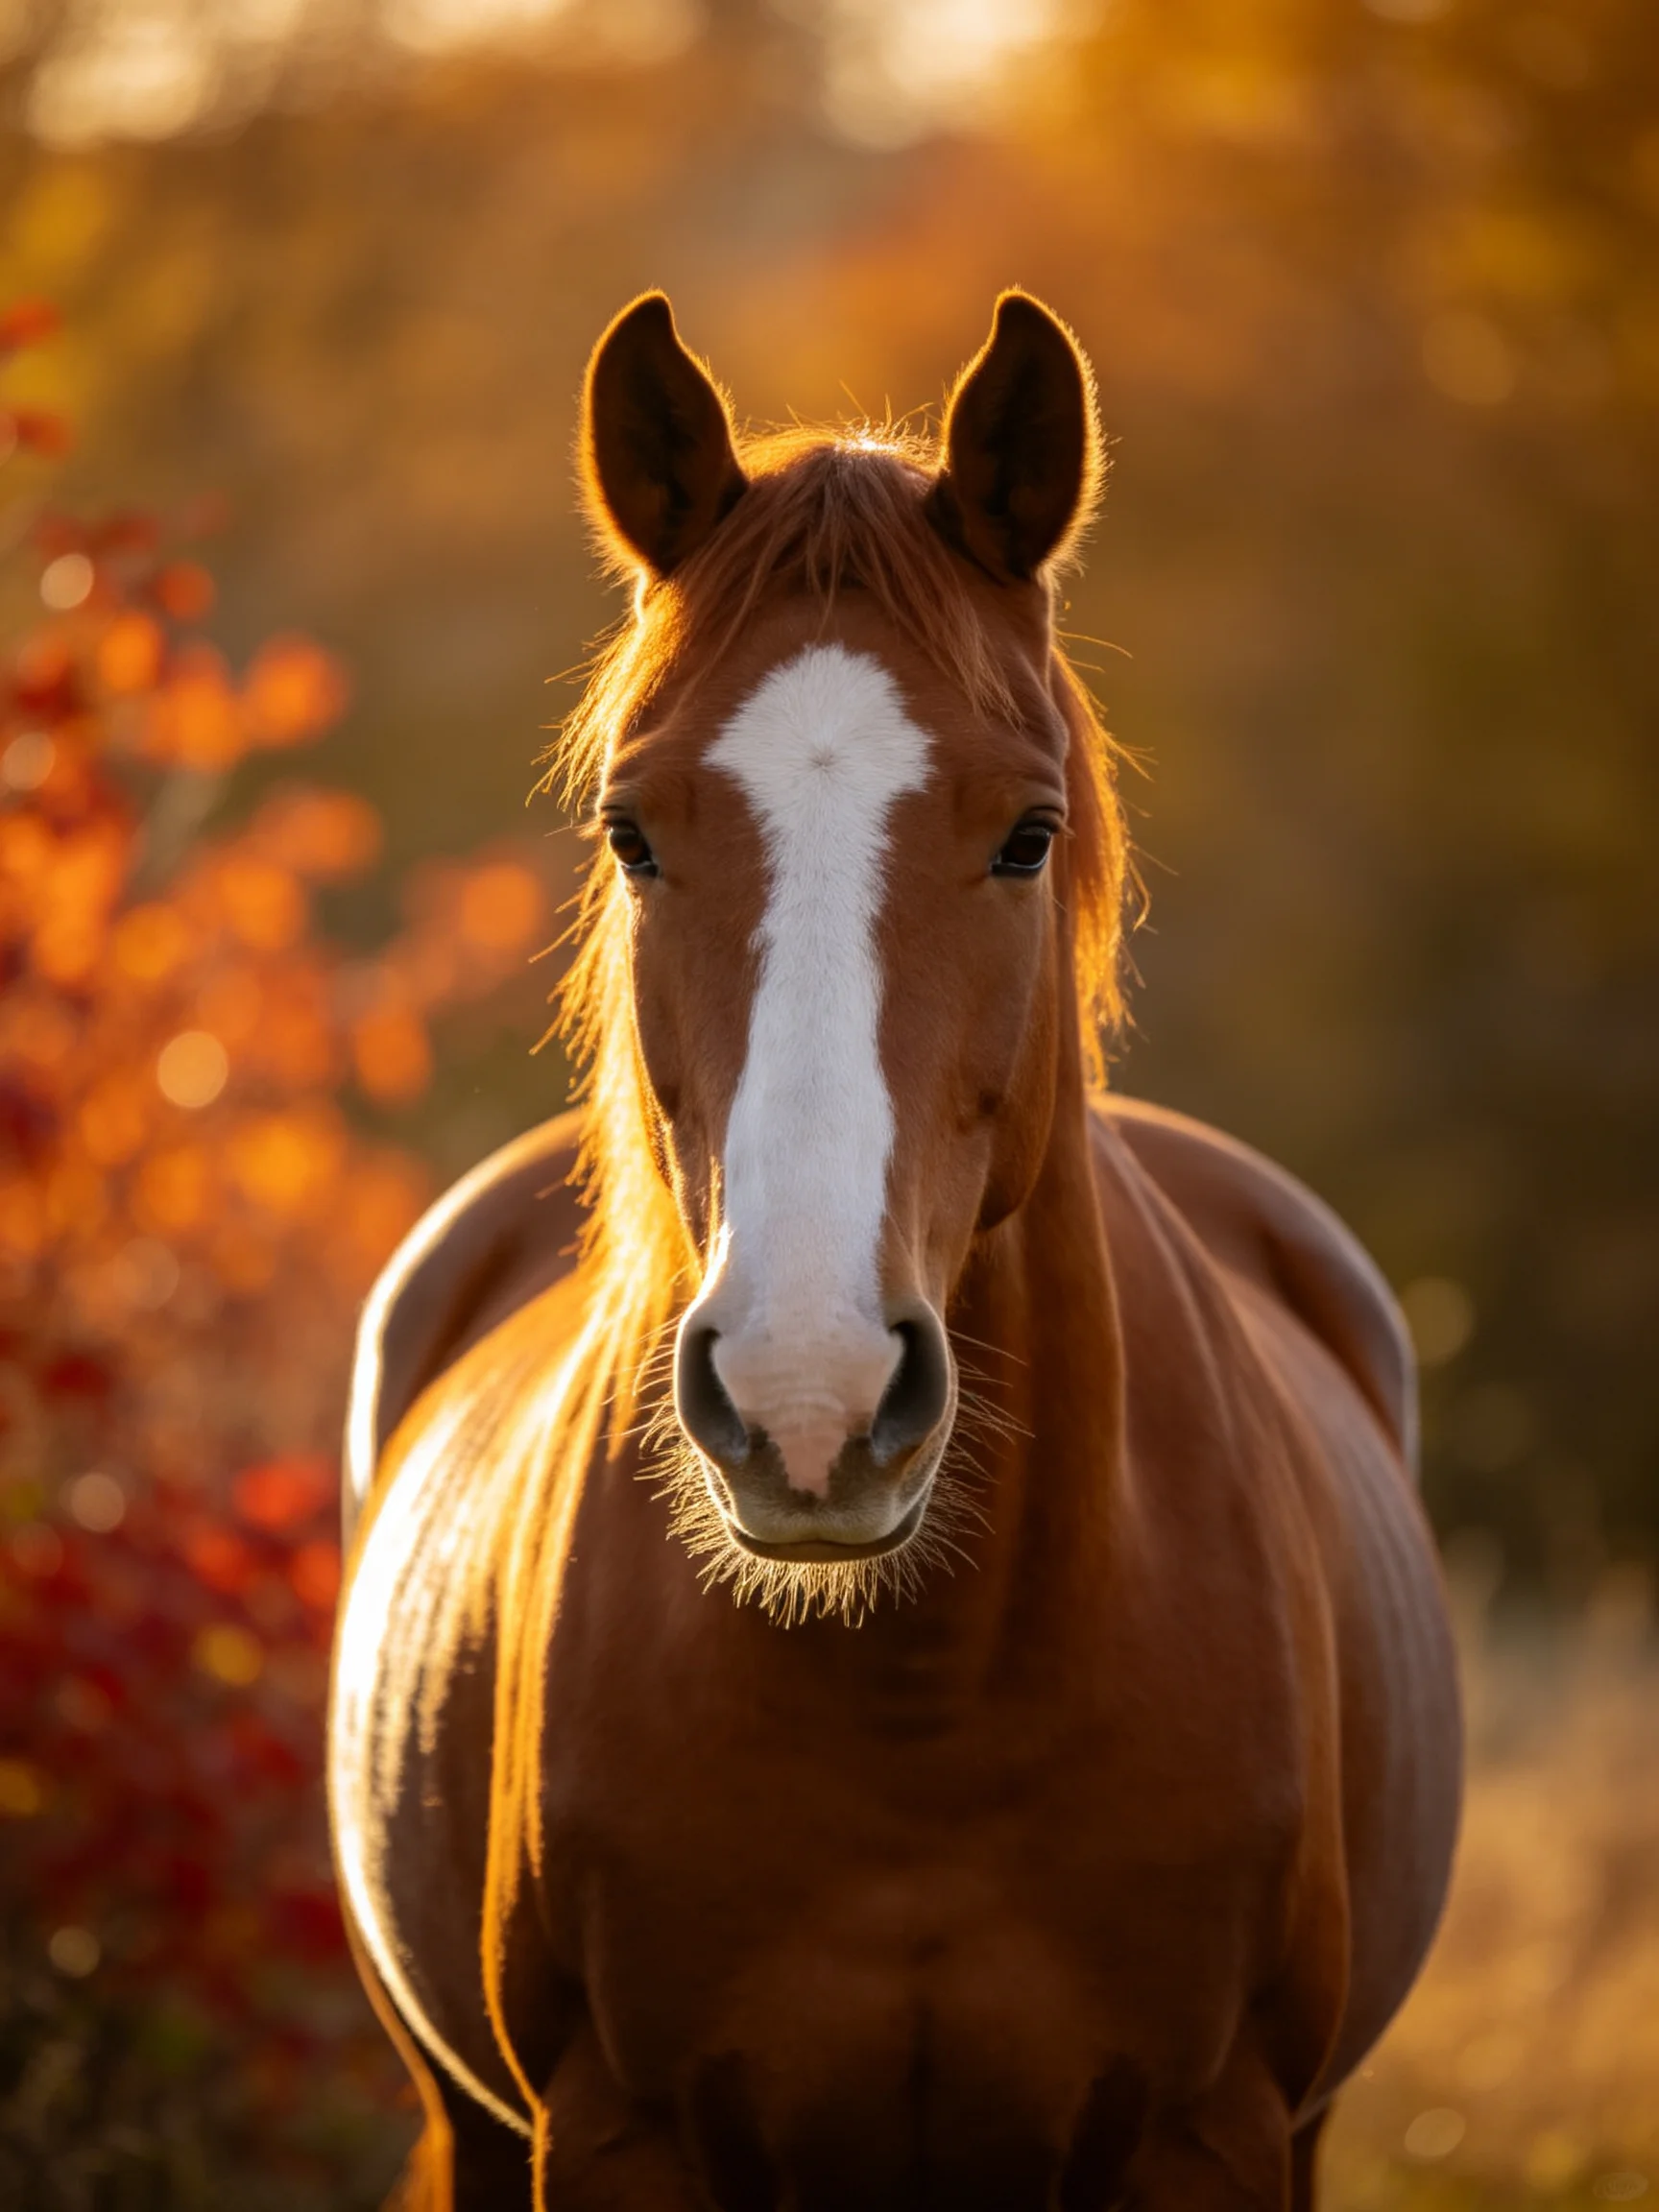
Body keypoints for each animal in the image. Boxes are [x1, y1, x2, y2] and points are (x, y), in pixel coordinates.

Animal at [328, 290, 1462, 2210]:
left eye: (1026, 831)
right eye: (632, 829)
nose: (812, 1397)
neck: (927, 1704)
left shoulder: (1212, 2132)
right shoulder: (612, 2134)